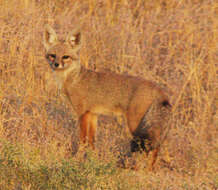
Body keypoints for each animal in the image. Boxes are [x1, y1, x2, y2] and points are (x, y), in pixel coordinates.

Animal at [43, 24, 172, 170]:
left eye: (65, 57)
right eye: (53, 55)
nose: (56, 64)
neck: (73, 79)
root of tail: (159, 89)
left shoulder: (82, 114)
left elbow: (83, 141)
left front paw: (77, 159)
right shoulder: (93, 114)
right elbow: (92, 142)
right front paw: (92, 160)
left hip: (135, 125)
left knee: (153, 147)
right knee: (158, 146)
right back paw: (150, 169)